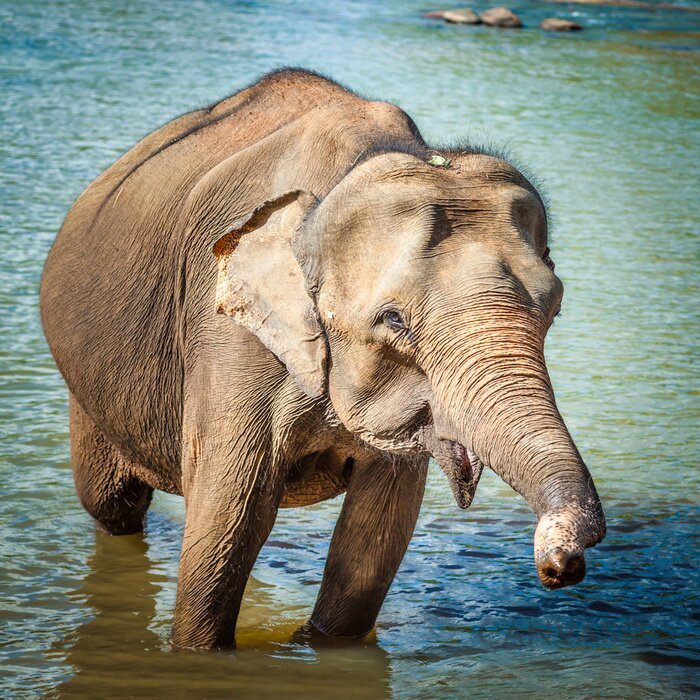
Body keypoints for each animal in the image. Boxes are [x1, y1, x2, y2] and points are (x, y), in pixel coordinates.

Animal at [41, 68, 604, 648]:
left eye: (554, 308)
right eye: (393, 320)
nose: (560, 565)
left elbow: (376, 534)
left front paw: (317, 644)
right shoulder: (227, 337)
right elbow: (228, 521)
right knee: (112, 504)